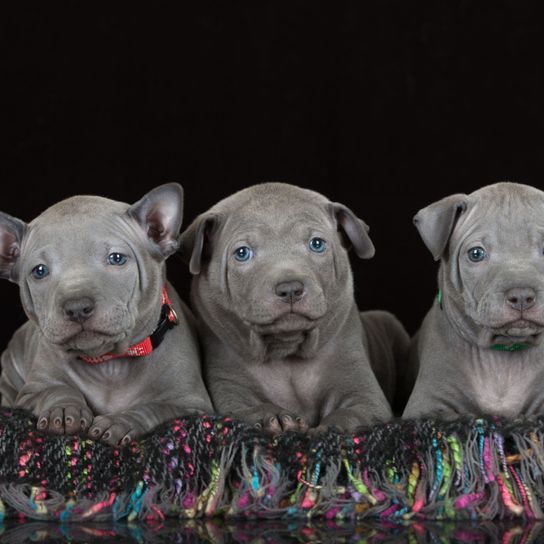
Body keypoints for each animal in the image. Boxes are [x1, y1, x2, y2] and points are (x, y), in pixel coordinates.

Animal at [0, 184, 212, 446]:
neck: (109, 362)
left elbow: (155, 408)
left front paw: (121, 421)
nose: (77, 307)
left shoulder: (191, 405)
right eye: (39, 271)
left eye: (116, 258)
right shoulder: (31, 393)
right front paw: (64, 410)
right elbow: (55, 390)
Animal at [180, 183, 408, 434]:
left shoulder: (364, 393)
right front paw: (274, 417)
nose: (290, 288)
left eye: (317, 244)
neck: (285, 351)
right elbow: (242, 410)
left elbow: (352, 413)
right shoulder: (229, 388)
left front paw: (330, 428)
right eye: (242, 253)